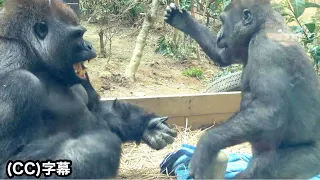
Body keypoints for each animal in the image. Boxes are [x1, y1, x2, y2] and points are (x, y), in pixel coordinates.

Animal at [0, 0, 178, 178]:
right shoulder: (19, 81)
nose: (89, 45)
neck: (32, 53)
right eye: (77, 35)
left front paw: (147, 126)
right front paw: (102, 144)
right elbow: (10, 162)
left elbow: (96, 108)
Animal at [165, 0, 320, 179]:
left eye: (223, 21)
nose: (219, 35)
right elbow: (222, 55)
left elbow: (267, 111)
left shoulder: (268, 50)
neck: (262, 26)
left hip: (308, 161)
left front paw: (207, 143)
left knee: (261, 169)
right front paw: (182, 20)